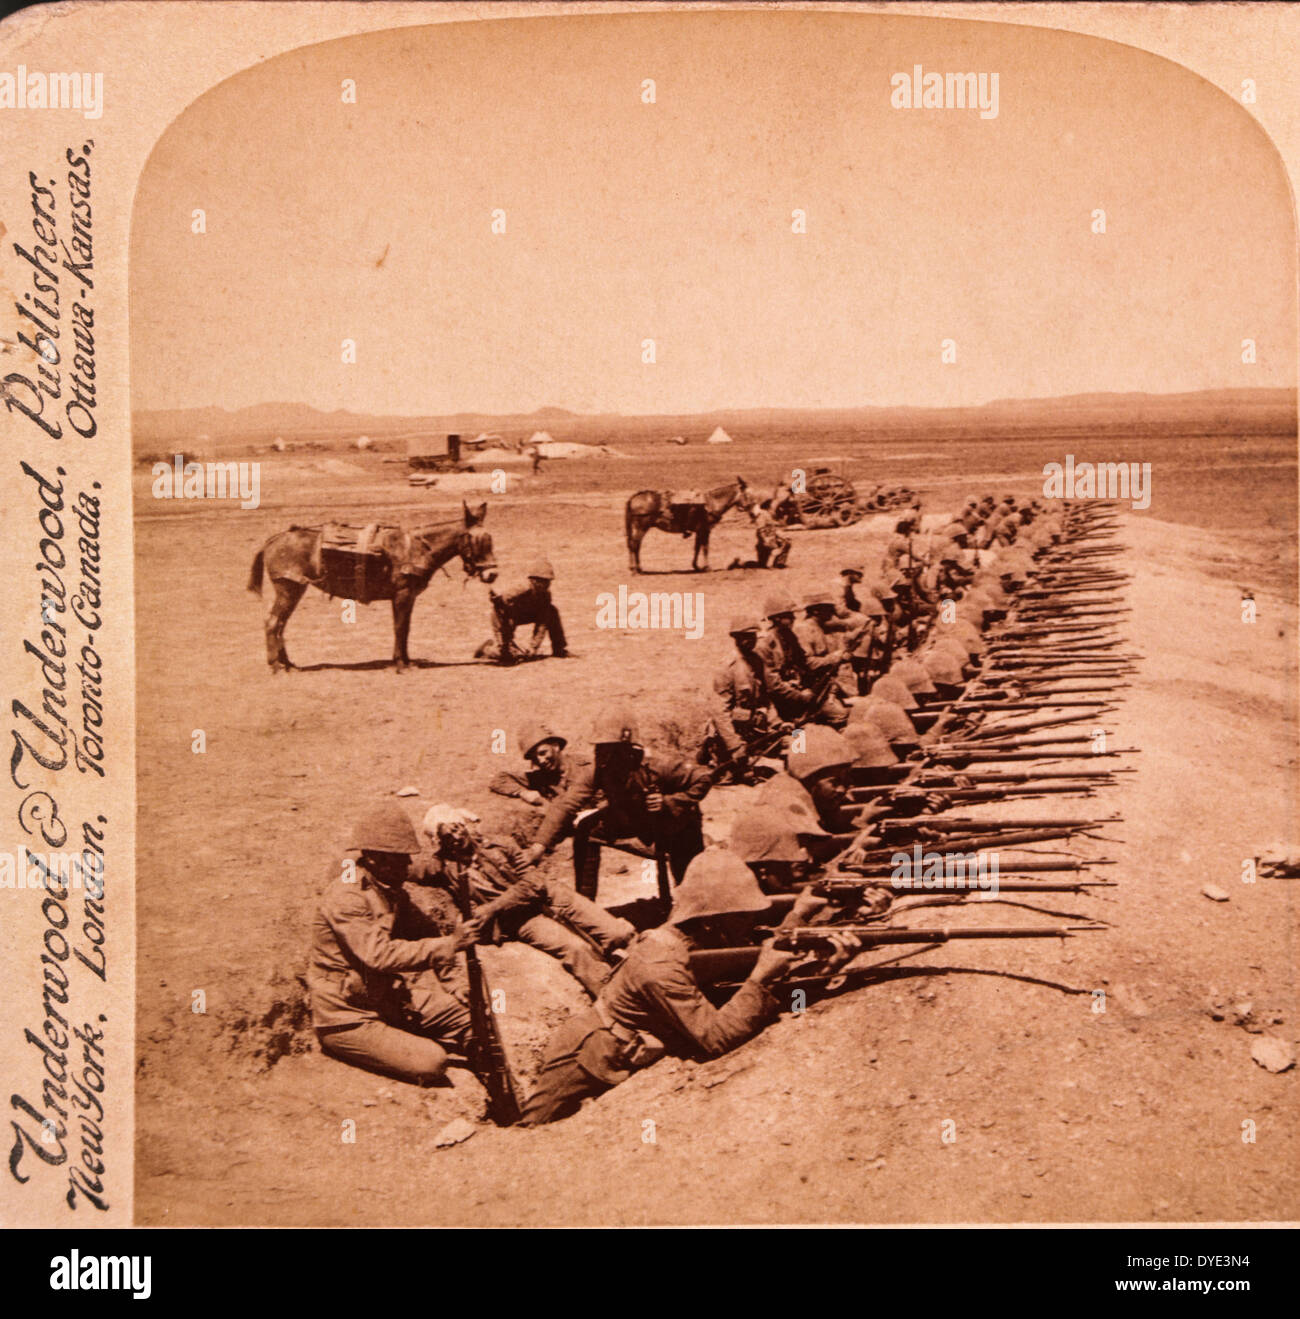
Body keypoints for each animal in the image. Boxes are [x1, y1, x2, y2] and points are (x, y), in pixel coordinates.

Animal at [246, 501, 495, 675]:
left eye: (490, 539)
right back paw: (276, 666)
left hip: (295, 590)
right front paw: (400, 664)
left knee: (280, 624)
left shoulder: (408, 597)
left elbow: (405, 629)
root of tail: (274, 539)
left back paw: (288, 664)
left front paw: (405, 661)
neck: (416, 549)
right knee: (273, 623)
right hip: (288, 589)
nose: (492, 574)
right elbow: (399, 628)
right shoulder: (402, 595)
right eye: (477, 540)